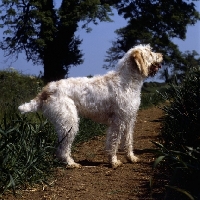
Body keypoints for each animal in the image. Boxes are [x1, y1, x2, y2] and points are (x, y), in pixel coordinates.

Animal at [18, 44, 162, 169]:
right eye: (150, 53)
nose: (162, 55)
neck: (127, 80)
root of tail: (47, 89)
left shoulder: (129, 119)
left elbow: (128, 141)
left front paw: (131, 158)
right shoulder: (118, 121)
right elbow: (114, 142)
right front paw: (113, 161)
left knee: (59, 148)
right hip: (69, 123)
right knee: (63, 149)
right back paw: (71, 163)